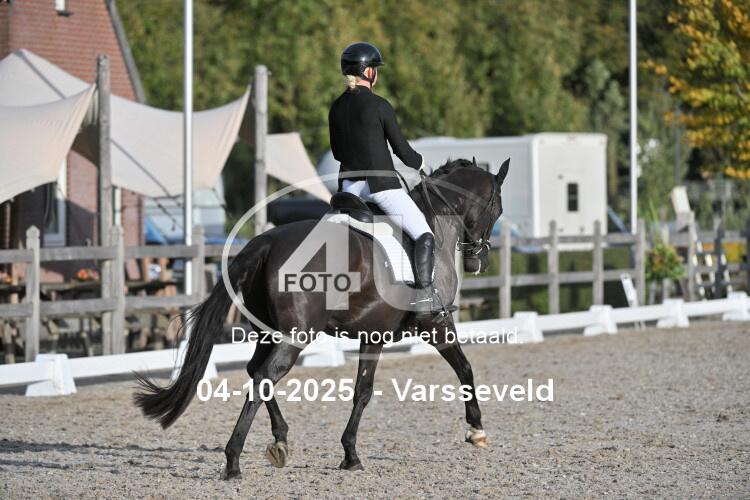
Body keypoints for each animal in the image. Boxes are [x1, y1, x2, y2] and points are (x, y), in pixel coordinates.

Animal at [134, 157, 510, 479]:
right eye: (498, 209)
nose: (479, 261)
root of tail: (267, 241)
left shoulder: (372, 335)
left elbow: (362, 390)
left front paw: (349, 454)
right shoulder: (436, 324)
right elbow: (463, 369)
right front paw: (476, 429)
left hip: (269, 333)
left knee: (256, 372)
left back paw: (280, 441)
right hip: (295, 337)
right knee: (265, 376)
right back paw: (233, 460)